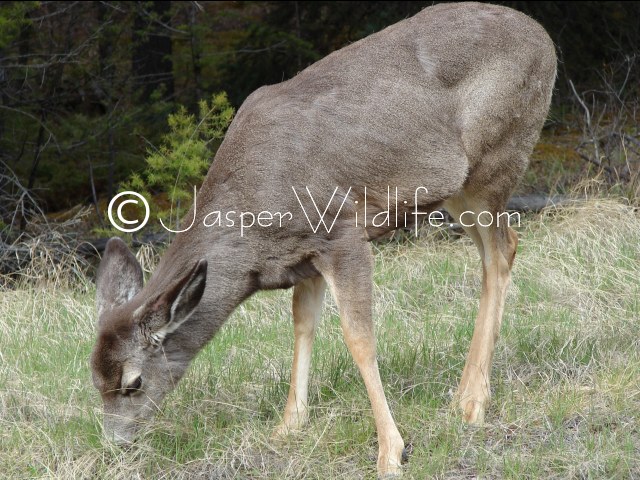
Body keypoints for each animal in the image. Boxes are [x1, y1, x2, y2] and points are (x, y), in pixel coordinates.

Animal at [89, 2, 556, 476]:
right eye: (94, 380)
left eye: (133, 382)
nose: (115, 444)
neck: (255, 238)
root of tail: (543, 38)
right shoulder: (303, 255)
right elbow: (302, 324)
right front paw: (288, 426)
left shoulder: (341, 232)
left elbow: (359, 339)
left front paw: (391, 450)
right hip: (457, 189)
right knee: (500, 247)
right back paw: (466, 393)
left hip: (496, 157)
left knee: (500, 250)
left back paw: (473, 402)